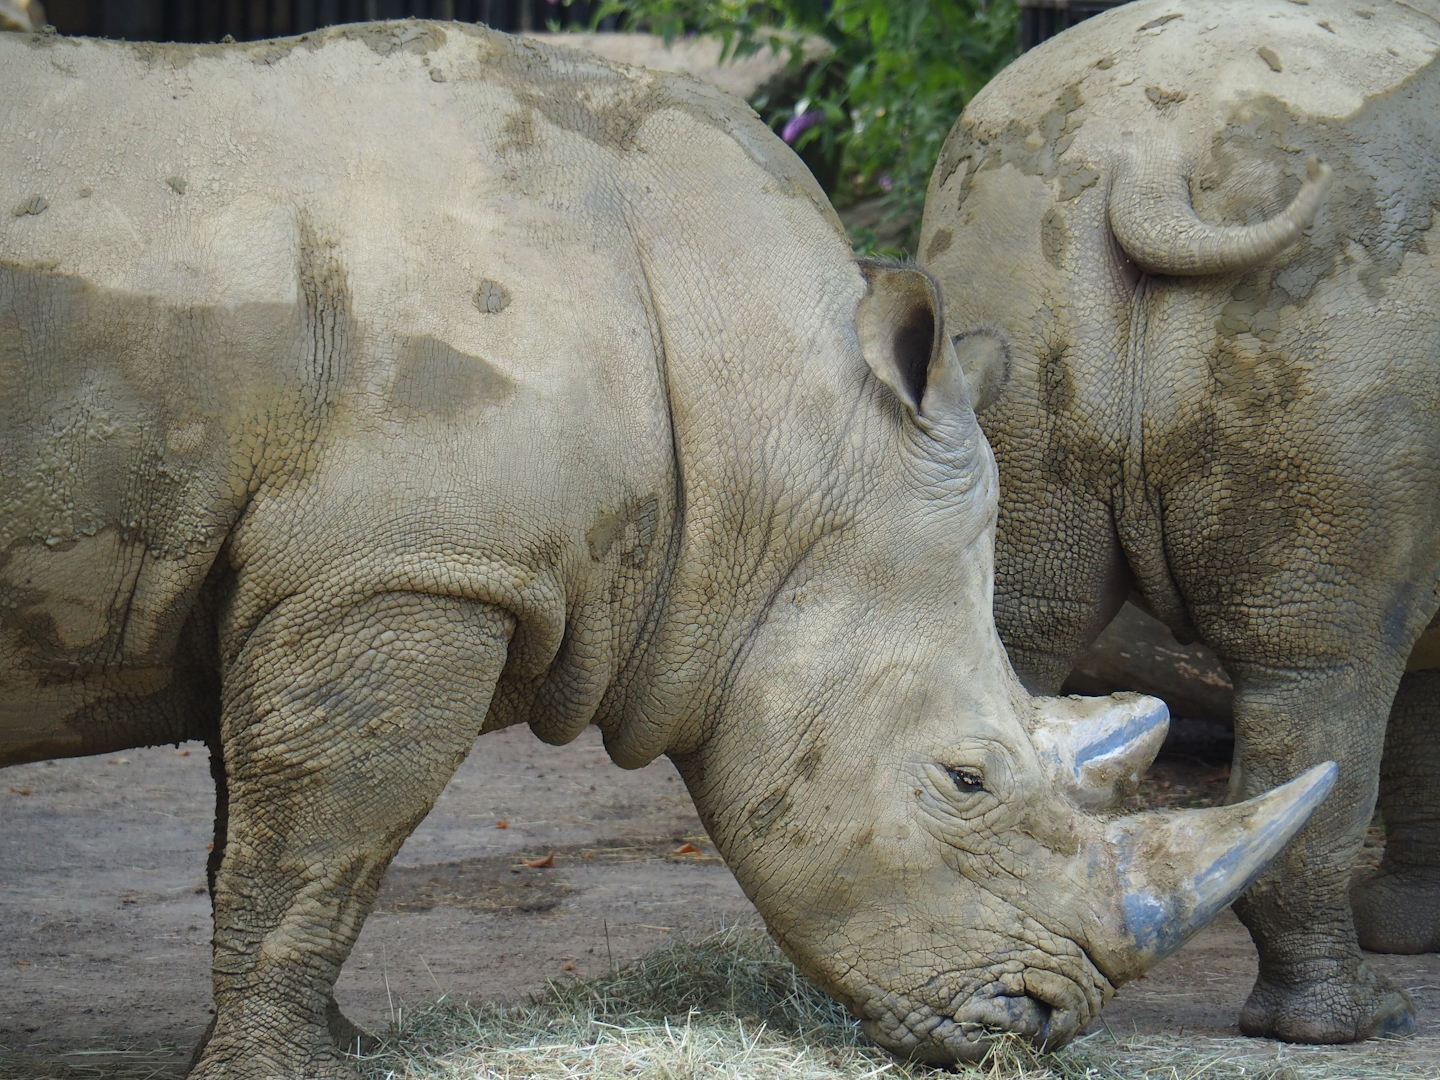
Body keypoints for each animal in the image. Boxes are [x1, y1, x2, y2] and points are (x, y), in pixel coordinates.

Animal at [0, 22, 1335, 1076]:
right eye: (966, 781)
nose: (1042, 1020)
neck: (773, 418)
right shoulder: (403, 574)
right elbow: (319, 845)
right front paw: (279, 1069)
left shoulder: (308, 578)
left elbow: (268, 831)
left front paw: (337, 1050)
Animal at [920, 0, 1440, 1046]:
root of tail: (1150, 155)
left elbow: (1421, 719)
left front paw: (1413, 927)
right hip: (1350, 320)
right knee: (1322, 670)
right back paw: (1351, 1023)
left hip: (1006, 232)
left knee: (1021, 628)